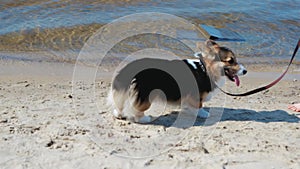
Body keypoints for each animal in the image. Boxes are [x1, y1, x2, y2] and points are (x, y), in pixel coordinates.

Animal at [107, 40, 246, 123]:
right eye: (230, 61)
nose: (245, 71)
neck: (205, 69)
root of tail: (128, 68)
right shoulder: (196, 96)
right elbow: (199, 105)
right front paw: (203, 113)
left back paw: (119, 114)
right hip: (145, 97)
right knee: (136, 109)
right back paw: (144, 118)